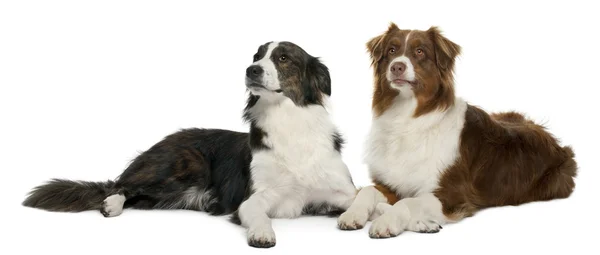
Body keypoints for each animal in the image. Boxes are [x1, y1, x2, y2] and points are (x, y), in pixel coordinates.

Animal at [24, 41, 356, 247]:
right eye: (256, 56)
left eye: (283, 58)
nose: (251, 70)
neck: (288, 122)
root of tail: (167, 139)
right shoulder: (254, 197)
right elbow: (257, 213)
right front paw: (262, 233)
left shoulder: (337, 192)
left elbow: (363, 198)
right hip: (183, 165)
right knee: (118, 185)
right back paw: (111, 204)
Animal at [338, 22, 576, 238]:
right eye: (391, 50)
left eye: (420, 51)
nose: (397, 66)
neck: (406, 118)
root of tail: (558, 144)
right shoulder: (390, 183)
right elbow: (368, 190)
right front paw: (353, 214)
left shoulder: (452, 195)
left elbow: (407, 202)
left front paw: (387, 222)